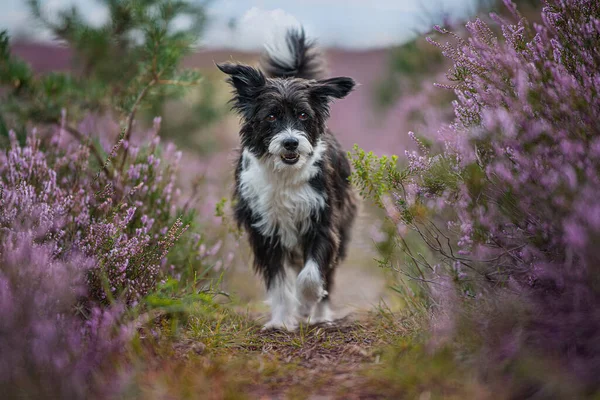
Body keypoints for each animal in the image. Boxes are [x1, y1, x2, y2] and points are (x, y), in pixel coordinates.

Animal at [218, 27, 356, 328]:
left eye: (303, 115)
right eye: (271, 117)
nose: (291, 142)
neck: (284, 175)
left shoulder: (323, 222)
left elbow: (312, 275)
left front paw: (305, 306)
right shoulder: (264, 230)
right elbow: (279, 283)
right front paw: (281, 321)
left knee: (326, 275)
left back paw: (319, 316)